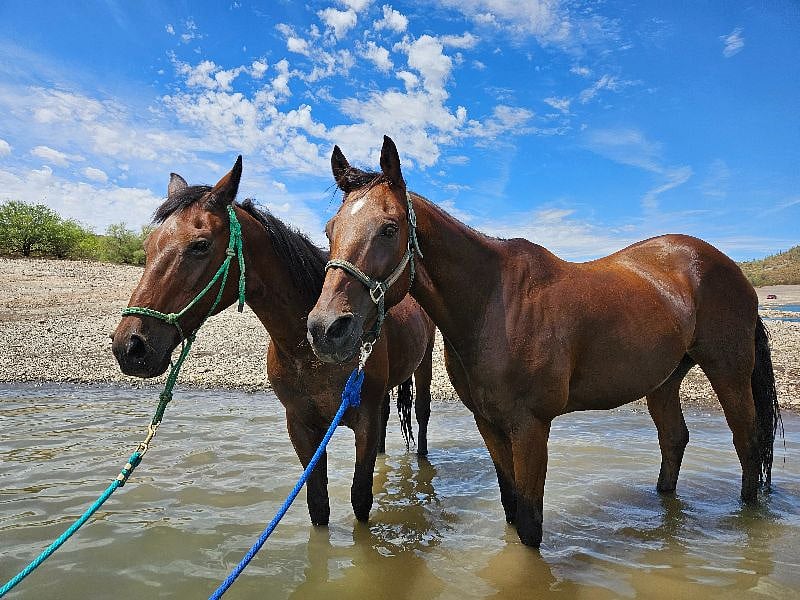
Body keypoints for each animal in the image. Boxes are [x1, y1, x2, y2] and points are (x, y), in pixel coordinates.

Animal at [112, 156, 436, 526]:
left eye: (200, 245)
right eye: (148, 246)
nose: (130, 346)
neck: (308, 353)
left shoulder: (362, 423)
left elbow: (360, 499)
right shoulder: (301, 427)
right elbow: (318, 504)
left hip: (425, 363)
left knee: (422, 414)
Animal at [306, 135, 782, 548]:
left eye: (389, 229)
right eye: (330, 230)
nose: (327, 328)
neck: (493, 304)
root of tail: (728, 267)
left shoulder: (531, 426)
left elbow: (530, 523)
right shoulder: (489, 423)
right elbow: (512, 505)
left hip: (728, 371)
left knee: (747, 440)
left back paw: (749, 517)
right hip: (664, 380)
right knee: (674, 439)